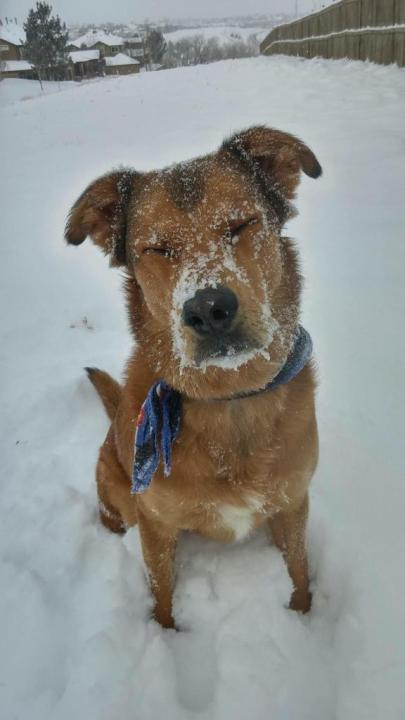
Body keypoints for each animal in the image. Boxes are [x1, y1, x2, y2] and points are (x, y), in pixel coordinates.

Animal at [64, 126, 320, 628]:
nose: (208, 309)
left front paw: (304, 616)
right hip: (117, 489)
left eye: (240, 225)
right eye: (157, 249)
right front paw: (165, 633)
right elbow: (161, 591)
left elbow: (299, 570)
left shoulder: (293, 502)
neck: (230, 399)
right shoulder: (156, 525)